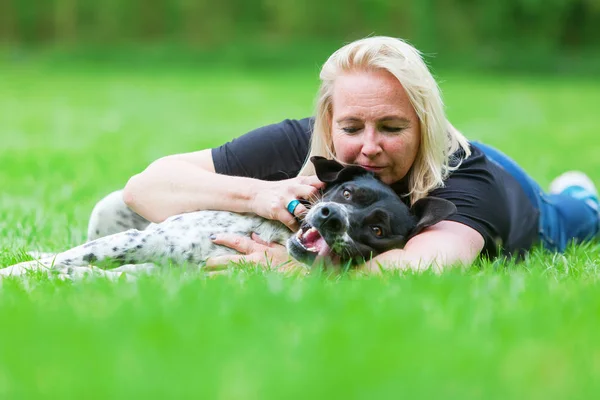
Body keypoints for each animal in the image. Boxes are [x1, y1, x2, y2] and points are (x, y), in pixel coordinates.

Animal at [0, 158, 454, 280]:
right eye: (346, 194)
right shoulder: (140, 241)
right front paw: (19, 273)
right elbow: (62, 260)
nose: (331, 217)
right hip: (109, 209)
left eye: (376, 228)